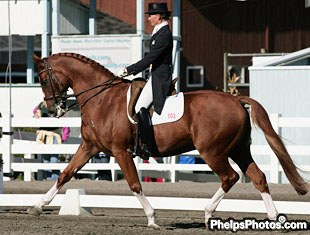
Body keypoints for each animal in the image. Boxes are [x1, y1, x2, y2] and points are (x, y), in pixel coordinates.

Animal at [29, 53, 308, 229]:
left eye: (42, 79)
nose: (52, 109)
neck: (102, 98)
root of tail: (235, 99)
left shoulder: (120, 151)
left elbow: (134, 184)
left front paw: (152, 219)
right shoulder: (90, 147)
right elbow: (65, 174)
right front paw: (38, 206)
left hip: (212, 152)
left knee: (230, 177)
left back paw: (208, 213)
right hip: (239, 150)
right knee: (258, 177)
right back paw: (272, 217)